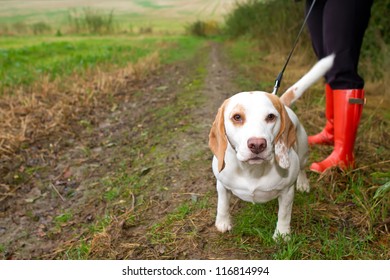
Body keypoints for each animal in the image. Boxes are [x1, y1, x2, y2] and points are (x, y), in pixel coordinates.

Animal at [209, 55, 334, 241]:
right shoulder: (222, 185)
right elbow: (222, 204)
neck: (252, 171)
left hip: (303, 152)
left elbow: (284, 214)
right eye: (237, 117)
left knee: (302, 168)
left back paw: (303, 183)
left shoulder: (287, 192)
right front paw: (223, 223)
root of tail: (282, 101)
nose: (257, 145)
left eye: (270, 117)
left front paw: (282, 234)